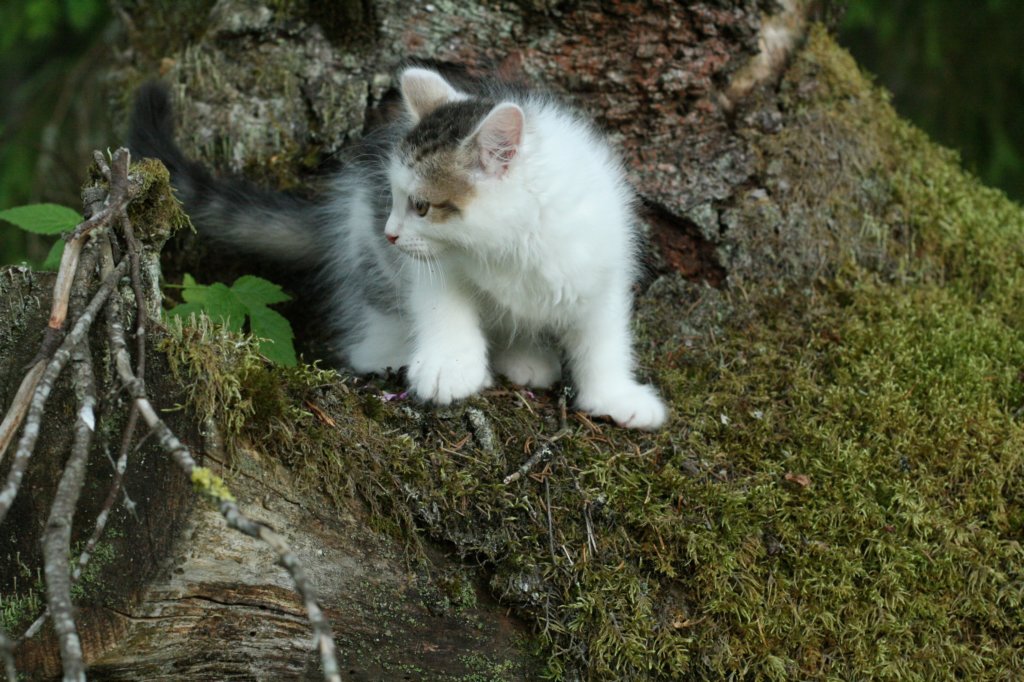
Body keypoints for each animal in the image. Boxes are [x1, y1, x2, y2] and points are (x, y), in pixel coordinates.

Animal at [130, 67, 667, 430]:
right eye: (392, 197)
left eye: (423, 206)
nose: (391, 231)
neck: (513, 246)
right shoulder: (433, 266)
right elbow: (442, 308)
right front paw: (450, 369)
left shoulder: (603, 270)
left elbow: (603, 340)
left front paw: (615, 397)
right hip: (363, 241)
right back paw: (388, 351)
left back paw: (525, 357)